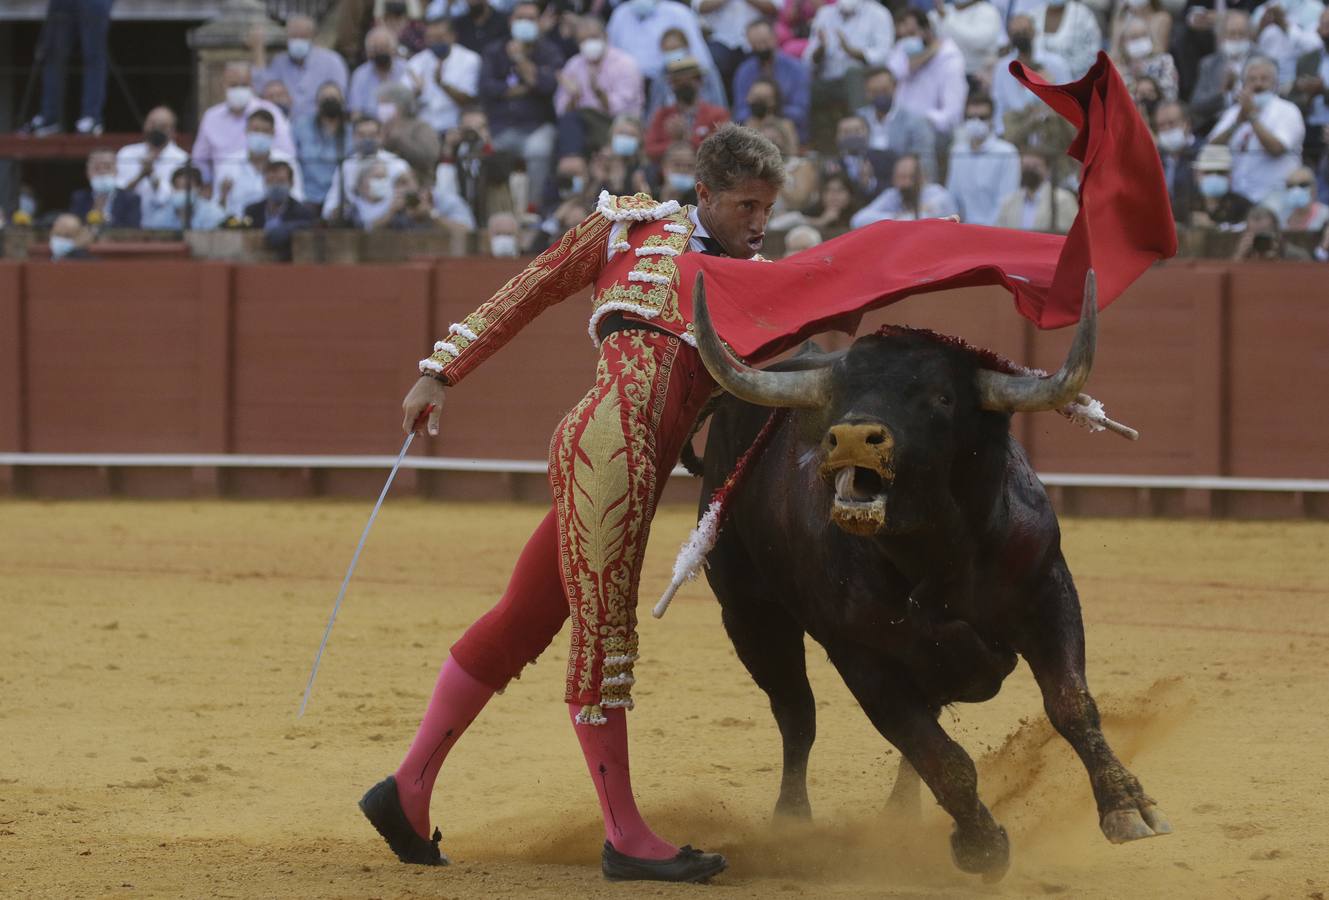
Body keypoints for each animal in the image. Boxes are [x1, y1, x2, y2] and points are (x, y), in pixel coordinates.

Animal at [691, 272, 1169, 877]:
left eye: (941, 397)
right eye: (839, 396)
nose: (851, 437)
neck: (940, 554)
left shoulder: (1049, 593)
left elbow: (1071, 703)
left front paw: (1128, 807)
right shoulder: (861, 656)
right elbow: (938, 753)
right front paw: (982, 845)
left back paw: (900, 813)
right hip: (749, 615)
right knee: (797, 714)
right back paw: (793, 822)